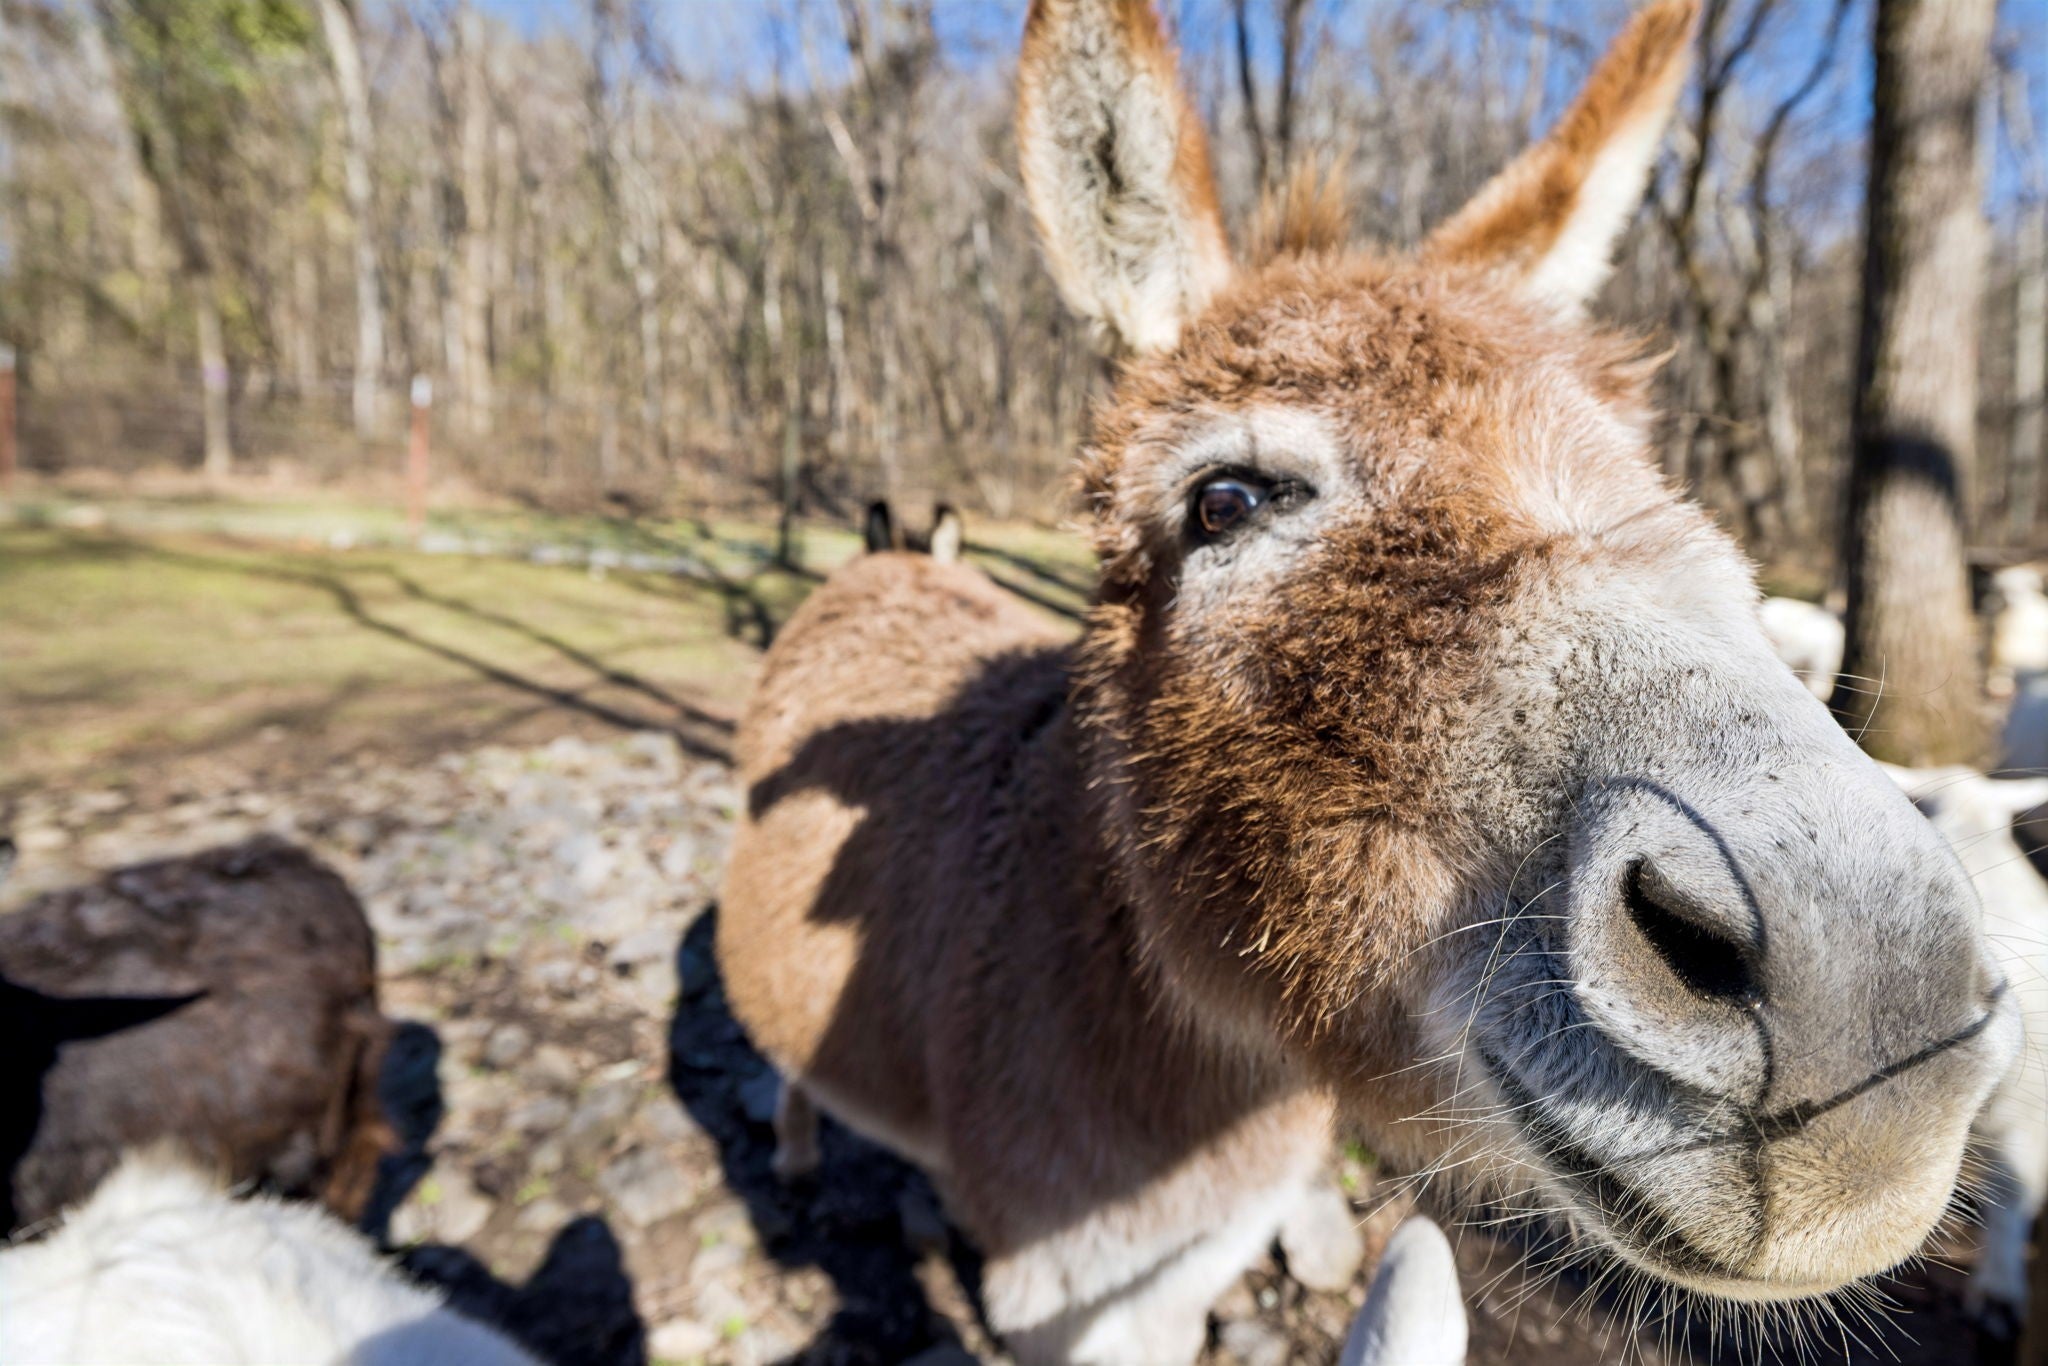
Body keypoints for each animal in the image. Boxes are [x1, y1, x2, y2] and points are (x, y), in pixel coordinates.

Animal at [718, 2, 2018, 1359]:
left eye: (1653, 477)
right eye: (1221, 502)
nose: (1872, 999)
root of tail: (878, 565)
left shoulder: (1177, 1269)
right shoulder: (1057, 1298)